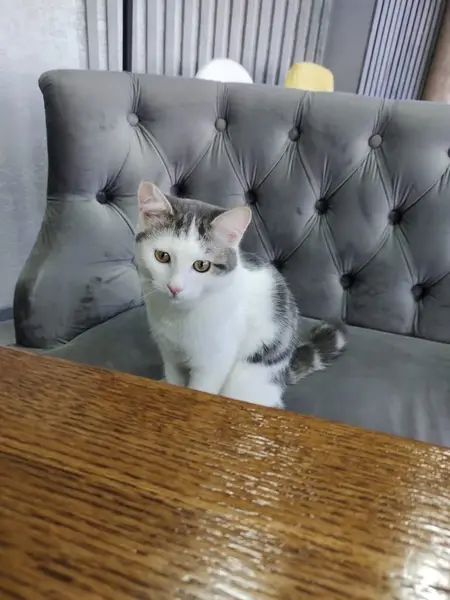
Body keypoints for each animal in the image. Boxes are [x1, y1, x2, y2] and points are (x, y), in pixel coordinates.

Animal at [135, 181, 345, 408]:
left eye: (202, 265)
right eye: (161, 256)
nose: (175, 287)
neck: (178, 317)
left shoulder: (215, 361)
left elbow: (201, 389)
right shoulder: (170, 354)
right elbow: (175, 382)